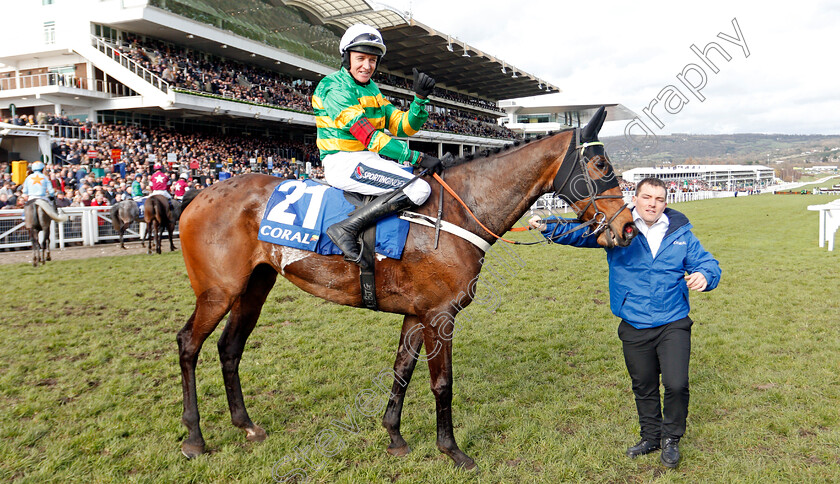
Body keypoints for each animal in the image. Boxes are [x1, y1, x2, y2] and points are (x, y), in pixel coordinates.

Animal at [177, 107, 636, 468]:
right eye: (601, 167)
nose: (628, 228)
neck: (458, 211)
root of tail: (200, 193)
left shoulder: (417, 314)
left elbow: (402, 370)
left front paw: (395, 437)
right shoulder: (440, 315)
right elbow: (442, 382)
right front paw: (452, 450)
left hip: (253, 287)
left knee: (229, 348)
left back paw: (246, 425)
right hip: (217, 292)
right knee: (189, 344)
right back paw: (194, 438)